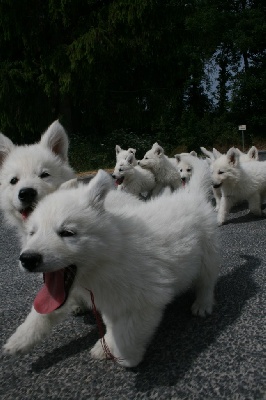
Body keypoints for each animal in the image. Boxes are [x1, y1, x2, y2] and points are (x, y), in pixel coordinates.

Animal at [3, 155, 220, 368]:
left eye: (67, 232)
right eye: (32, 233)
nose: (27, 259)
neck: (107, 258)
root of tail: (193, 195)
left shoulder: (145, 301)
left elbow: (126, 336)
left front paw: (127, 358)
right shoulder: (109, 301)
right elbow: (112, 327)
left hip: (208, 256)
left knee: (207, 282)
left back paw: (202, 304)